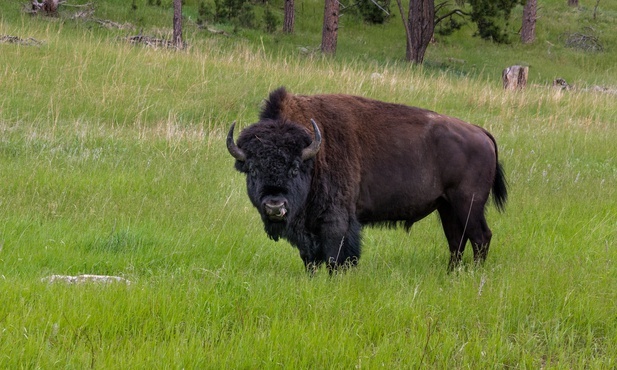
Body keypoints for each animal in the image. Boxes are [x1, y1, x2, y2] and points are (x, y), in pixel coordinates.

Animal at [226, 87, 506, 272]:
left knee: (481, 238)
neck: (313, 154)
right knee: (456, 240)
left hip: (468, 204)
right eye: (252, 169)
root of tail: (480, 132)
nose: (274, 206)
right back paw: (451, 274)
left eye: (295, 168)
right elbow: (310, 259)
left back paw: (474, 274)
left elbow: (336, 256)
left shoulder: (337, 220)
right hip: (446, 206)